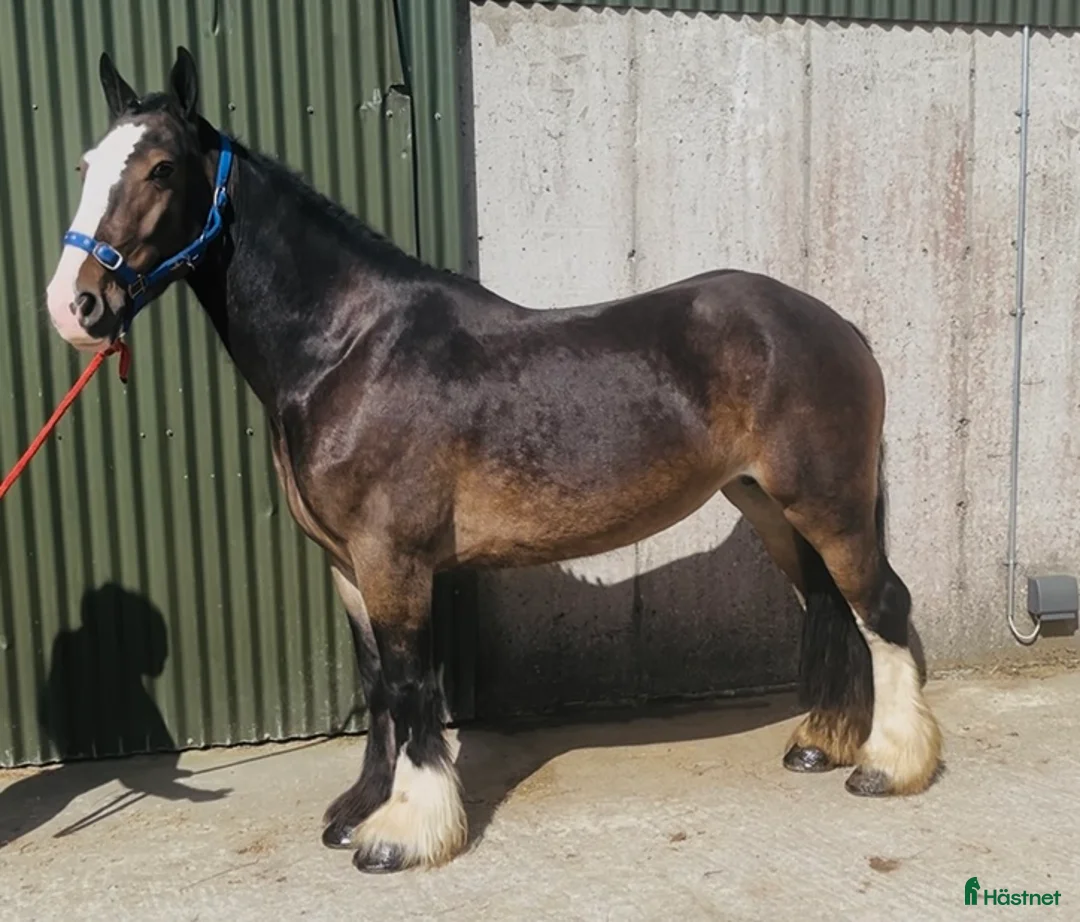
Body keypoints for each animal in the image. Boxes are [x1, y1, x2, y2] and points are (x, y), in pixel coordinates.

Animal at [43, 47, 942, 873]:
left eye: (161, 168)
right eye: (85, 164)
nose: (72, 305)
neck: (347, 350)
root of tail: (836, 325)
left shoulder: (394, 561)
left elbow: (412, 686)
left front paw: (403, 834)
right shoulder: (347, 565)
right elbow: (378, 687)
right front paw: (358, 811)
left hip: (826, 504)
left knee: (881, 606)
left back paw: (888, 766)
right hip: (768, 506)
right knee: (831, 605)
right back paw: (824, 742)